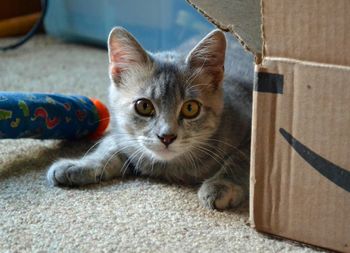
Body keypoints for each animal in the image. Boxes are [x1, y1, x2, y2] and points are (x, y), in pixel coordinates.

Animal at [46, 26, 252, 211]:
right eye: (143, 106)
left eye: (190, 108)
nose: (167, 137)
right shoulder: (122, 135)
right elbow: (108, 147)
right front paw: (79, 165)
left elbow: (241, 159)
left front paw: (222, 184)